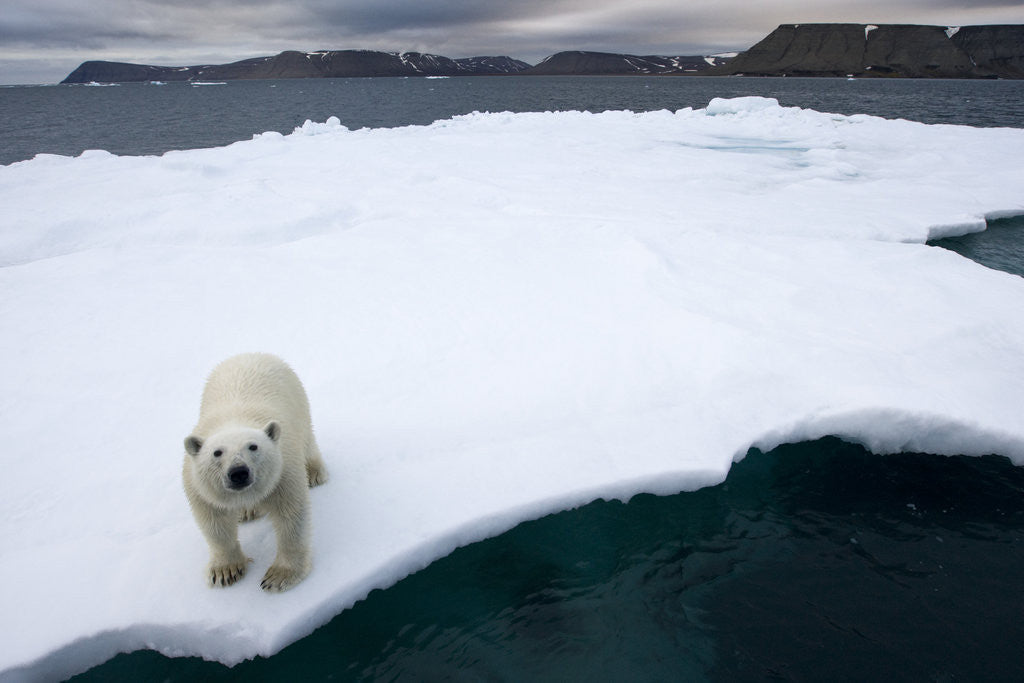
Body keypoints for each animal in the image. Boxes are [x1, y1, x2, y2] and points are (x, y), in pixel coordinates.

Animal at [183, 353, 328, 592]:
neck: (234, 421)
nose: (239, 472)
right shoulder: (199, 487)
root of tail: (250, 354)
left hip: (298, 400)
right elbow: (215, 524)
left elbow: (291, 517)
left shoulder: (283, 473)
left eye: (253, 446)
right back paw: (247, 511)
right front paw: (225, 571)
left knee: (307, 439)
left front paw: (279, 576)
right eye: (217, 452)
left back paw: (315, 472)